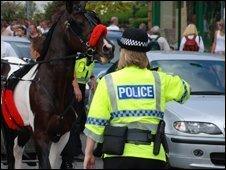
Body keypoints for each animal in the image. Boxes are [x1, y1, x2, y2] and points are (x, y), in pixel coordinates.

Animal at [1, 1, 115, 169]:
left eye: (97, 20)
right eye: (79, 23)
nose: (108, 48)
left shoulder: (62, 136)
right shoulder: (41, 136)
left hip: (23, 129)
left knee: (17, 153)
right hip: (9, 128)